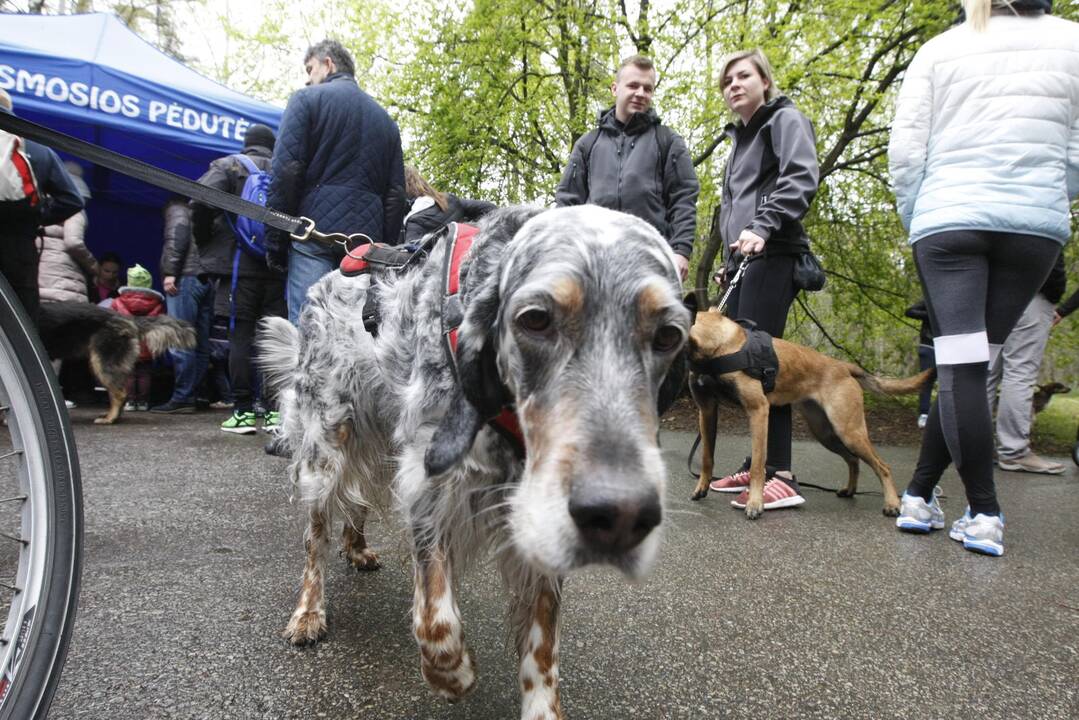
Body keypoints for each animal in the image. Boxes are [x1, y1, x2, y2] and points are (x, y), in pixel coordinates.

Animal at [256, 205, 686, 716]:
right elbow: (435, 620)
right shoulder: (428, 483)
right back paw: (308, 613)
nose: (620, 514)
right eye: (536, 319)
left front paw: (542, 705)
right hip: (324, 453)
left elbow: (542, 644)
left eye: (669, 335)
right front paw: (452, 675)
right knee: (315, 539)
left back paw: (356, 547)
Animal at [690, 306, 936, 520]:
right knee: (853, 459)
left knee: (882, 466)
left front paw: (755, 503)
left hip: (849, 432)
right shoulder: (707, 410)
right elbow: (707, 457)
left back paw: (892, 503)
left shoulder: (758, 411)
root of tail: (844, 366)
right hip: (826, 433)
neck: (718, 347)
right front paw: (702, 487)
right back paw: (850, 490)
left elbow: (758, 465)